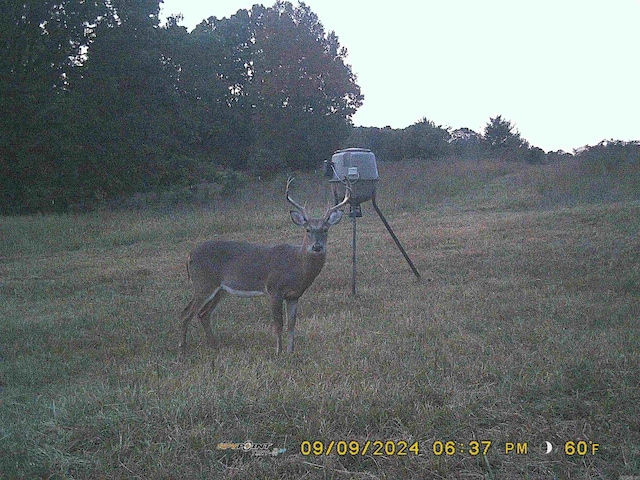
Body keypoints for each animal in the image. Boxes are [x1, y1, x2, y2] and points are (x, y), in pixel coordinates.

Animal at [179, 178, 350, 354]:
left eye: (325, 230)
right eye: (308, 230)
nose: (317, 247)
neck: (297, 266)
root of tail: (190, 255)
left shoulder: (294, 295)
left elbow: (291, 324)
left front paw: (291, 352)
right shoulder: (274, 289)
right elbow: (278, 324)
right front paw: (278, 352)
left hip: (220, 289)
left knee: (203, 313)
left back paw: (214, 346)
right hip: (204, 283)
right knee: (186, 313)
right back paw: (183, 348)